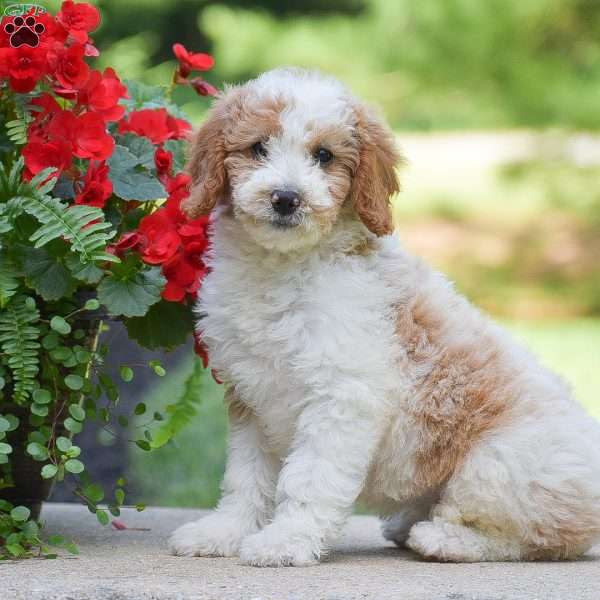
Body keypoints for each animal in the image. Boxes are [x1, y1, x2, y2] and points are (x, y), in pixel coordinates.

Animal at [168, 69, 600, 568]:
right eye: (258, 147)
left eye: (323, 155)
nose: (286, 198)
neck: (282, 268)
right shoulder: (251, 395)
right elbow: (245, 478)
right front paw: (224, 532)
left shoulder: (342, 395)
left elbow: (309, 478)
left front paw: (286, 540)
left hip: (502, 464)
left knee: (539, 537)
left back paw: (441, 539)